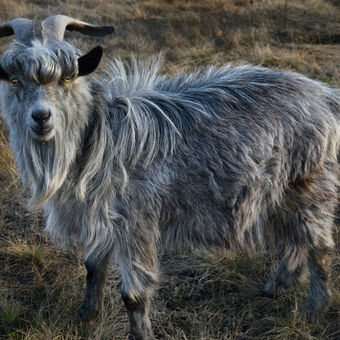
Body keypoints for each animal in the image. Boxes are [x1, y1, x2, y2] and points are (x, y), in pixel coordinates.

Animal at [0, 15, 340, 340]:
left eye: (67, 77)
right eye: (15, 80)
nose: (41, 117)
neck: (99, 138)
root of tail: (326, 96)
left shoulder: (134, 222)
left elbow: (133, 295)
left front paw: (141, 334)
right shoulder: (96, 219)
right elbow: (93, 268)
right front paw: (86, 317)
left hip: (311, 185)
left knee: (319, 247)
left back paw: (315, 310)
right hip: (280, 193)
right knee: (296, 242)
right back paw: (276, 287)